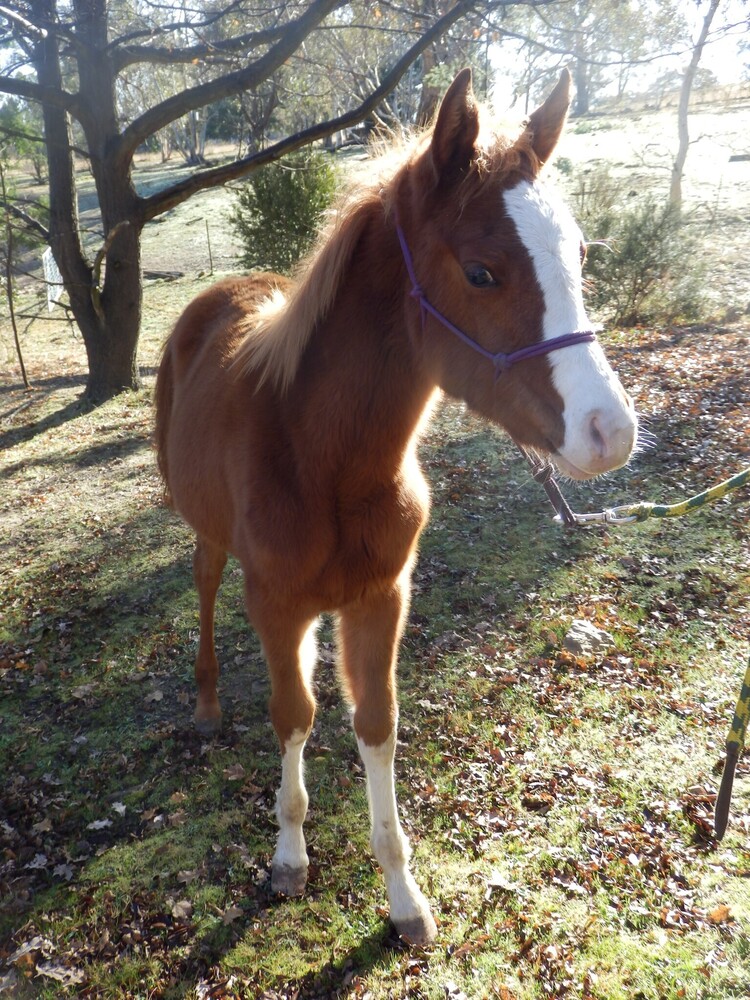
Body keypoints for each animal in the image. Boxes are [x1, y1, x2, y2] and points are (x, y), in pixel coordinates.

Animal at [154, 68, 637, 946]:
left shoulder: (382, 597)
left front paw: (404, 896)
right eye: (481, 272)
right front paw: (289, 856)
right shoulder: (273, 601)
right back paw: (205, 703)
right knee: (205, 586)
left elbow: (374, 723)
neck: (323, 457)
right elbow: (293, 713)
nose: (610, 433)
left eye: (580, 255)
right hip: (204, 529)